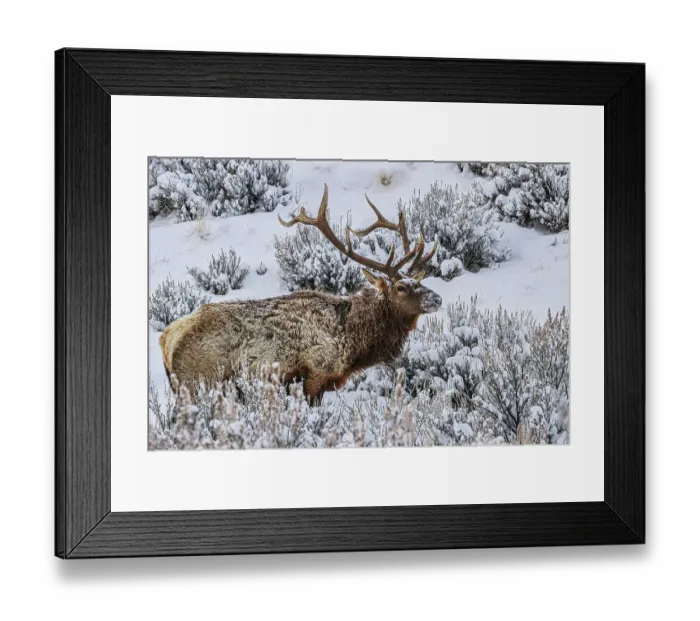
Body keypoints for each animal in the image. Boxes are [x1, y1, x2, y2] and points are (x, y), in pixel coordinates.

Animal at [159, 183, 442, 404]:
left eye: (418, 281)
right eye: (401, 287)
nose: (437, 298)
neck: (353, 342)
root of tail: (166, 339)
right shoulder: (315, 374)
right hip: (197, 383)